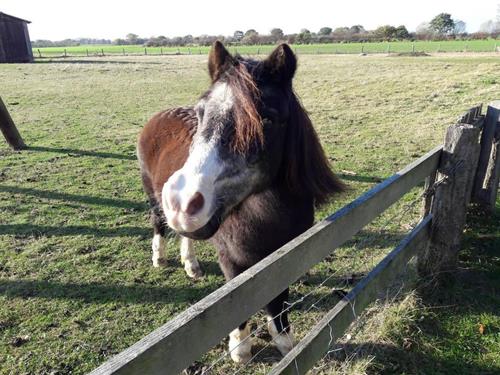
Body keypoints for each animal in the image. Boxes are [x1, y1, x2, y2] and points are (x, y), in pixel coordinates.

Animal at [136, 41, 344, 364]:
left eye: (267, 118)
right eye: (201, 113)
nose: (183, 200)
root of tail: (159, 116)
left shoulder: (287, 256)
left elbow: (278, 301)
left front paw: (284, 342)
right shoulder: (231, 260)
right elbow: (238, 303)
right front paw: (241, 349)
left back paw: (191, 265)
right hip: (153, 196)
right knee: (158, 222)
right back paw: (160, 258)